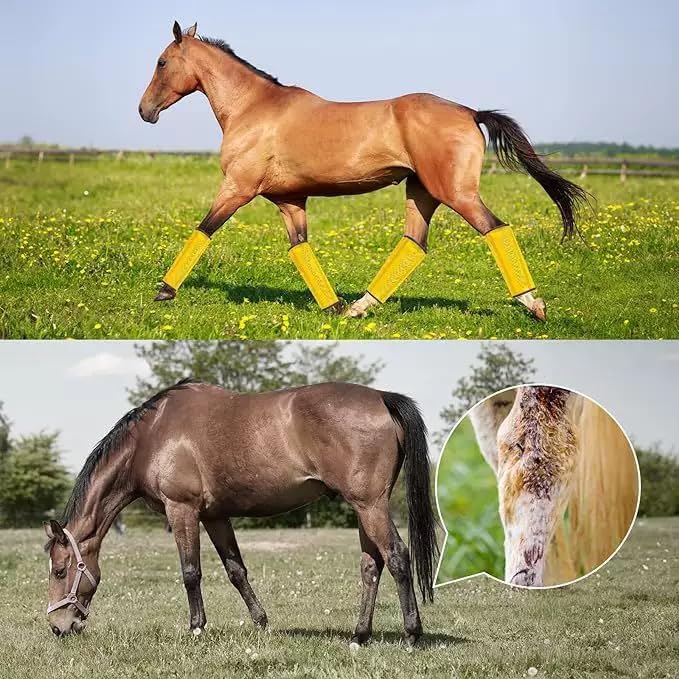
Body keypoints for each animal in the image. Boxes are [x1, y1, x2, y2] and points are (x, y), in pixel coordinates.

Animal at [44, 380, 439, 648]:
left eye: (60, 570)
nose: (58, 626)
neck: (153, 437)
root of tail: (382, 398)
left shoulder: (182, 510)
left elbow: (190, 572)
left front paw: (196, 628)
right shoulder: (215, 516)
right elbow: (236, 571)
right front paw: (261, 623)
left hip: (371, 505)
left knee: (397, 557)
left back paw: (412, 635)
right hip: (364, 508)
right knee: (371, 566)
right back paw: (359, 636)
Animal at [138, 21, 588, 321]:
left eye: (161, 62)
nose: (145, 111)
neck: (253, 109)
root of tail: (469, 112)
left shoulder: (237, 188)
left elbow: (204, 229)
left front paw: (164, 291)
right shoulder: (289, 200)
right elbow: (299, 249)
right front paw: (333, 306)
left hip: (456, 193)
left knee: (495, 228)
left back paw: (533, 304)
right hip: (421, 192)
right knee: (414, 243)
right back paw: (359, 306)